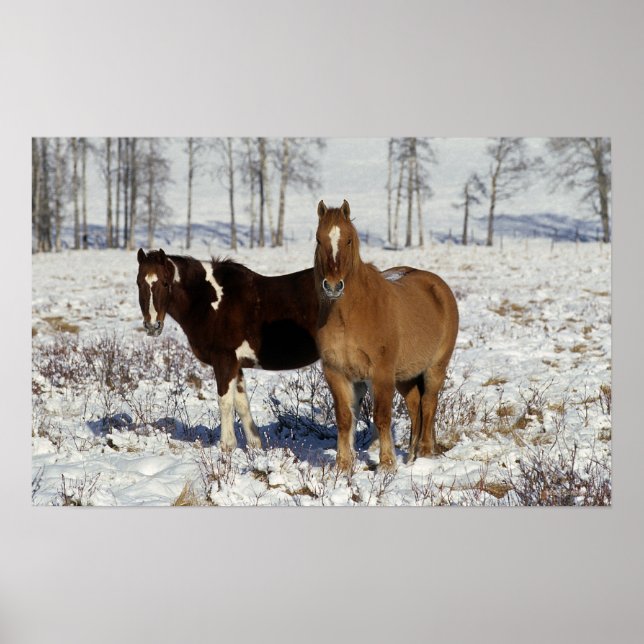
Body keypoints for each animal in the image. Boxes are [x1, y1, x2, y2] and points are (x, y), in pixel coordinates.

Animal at [136, 249, 374, 451]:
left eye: (165, 283)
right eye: (139, 283)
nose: (152, 326)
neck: (209, 301)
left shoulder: (224, 360)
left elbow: (225, 401)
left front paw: (227, 446)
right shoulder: (236, 364)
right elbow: (242, 403)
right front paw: (255, 446)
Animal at [314, 200, 459, 472]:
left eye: (348, 240)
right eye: (319, 239)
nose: (333, 286)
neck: (349, 315)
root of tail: (438, 286)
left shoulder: (381, 373)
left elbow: (381, 416)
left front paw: (387, 464)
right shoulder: (336, 372)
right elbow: (345, 418)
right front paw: (343, 464)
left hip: (435, 367)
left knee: (429, 403)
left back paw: (424, 453)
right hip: (404, 375)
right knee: (414, 405)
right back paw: (411, 455)